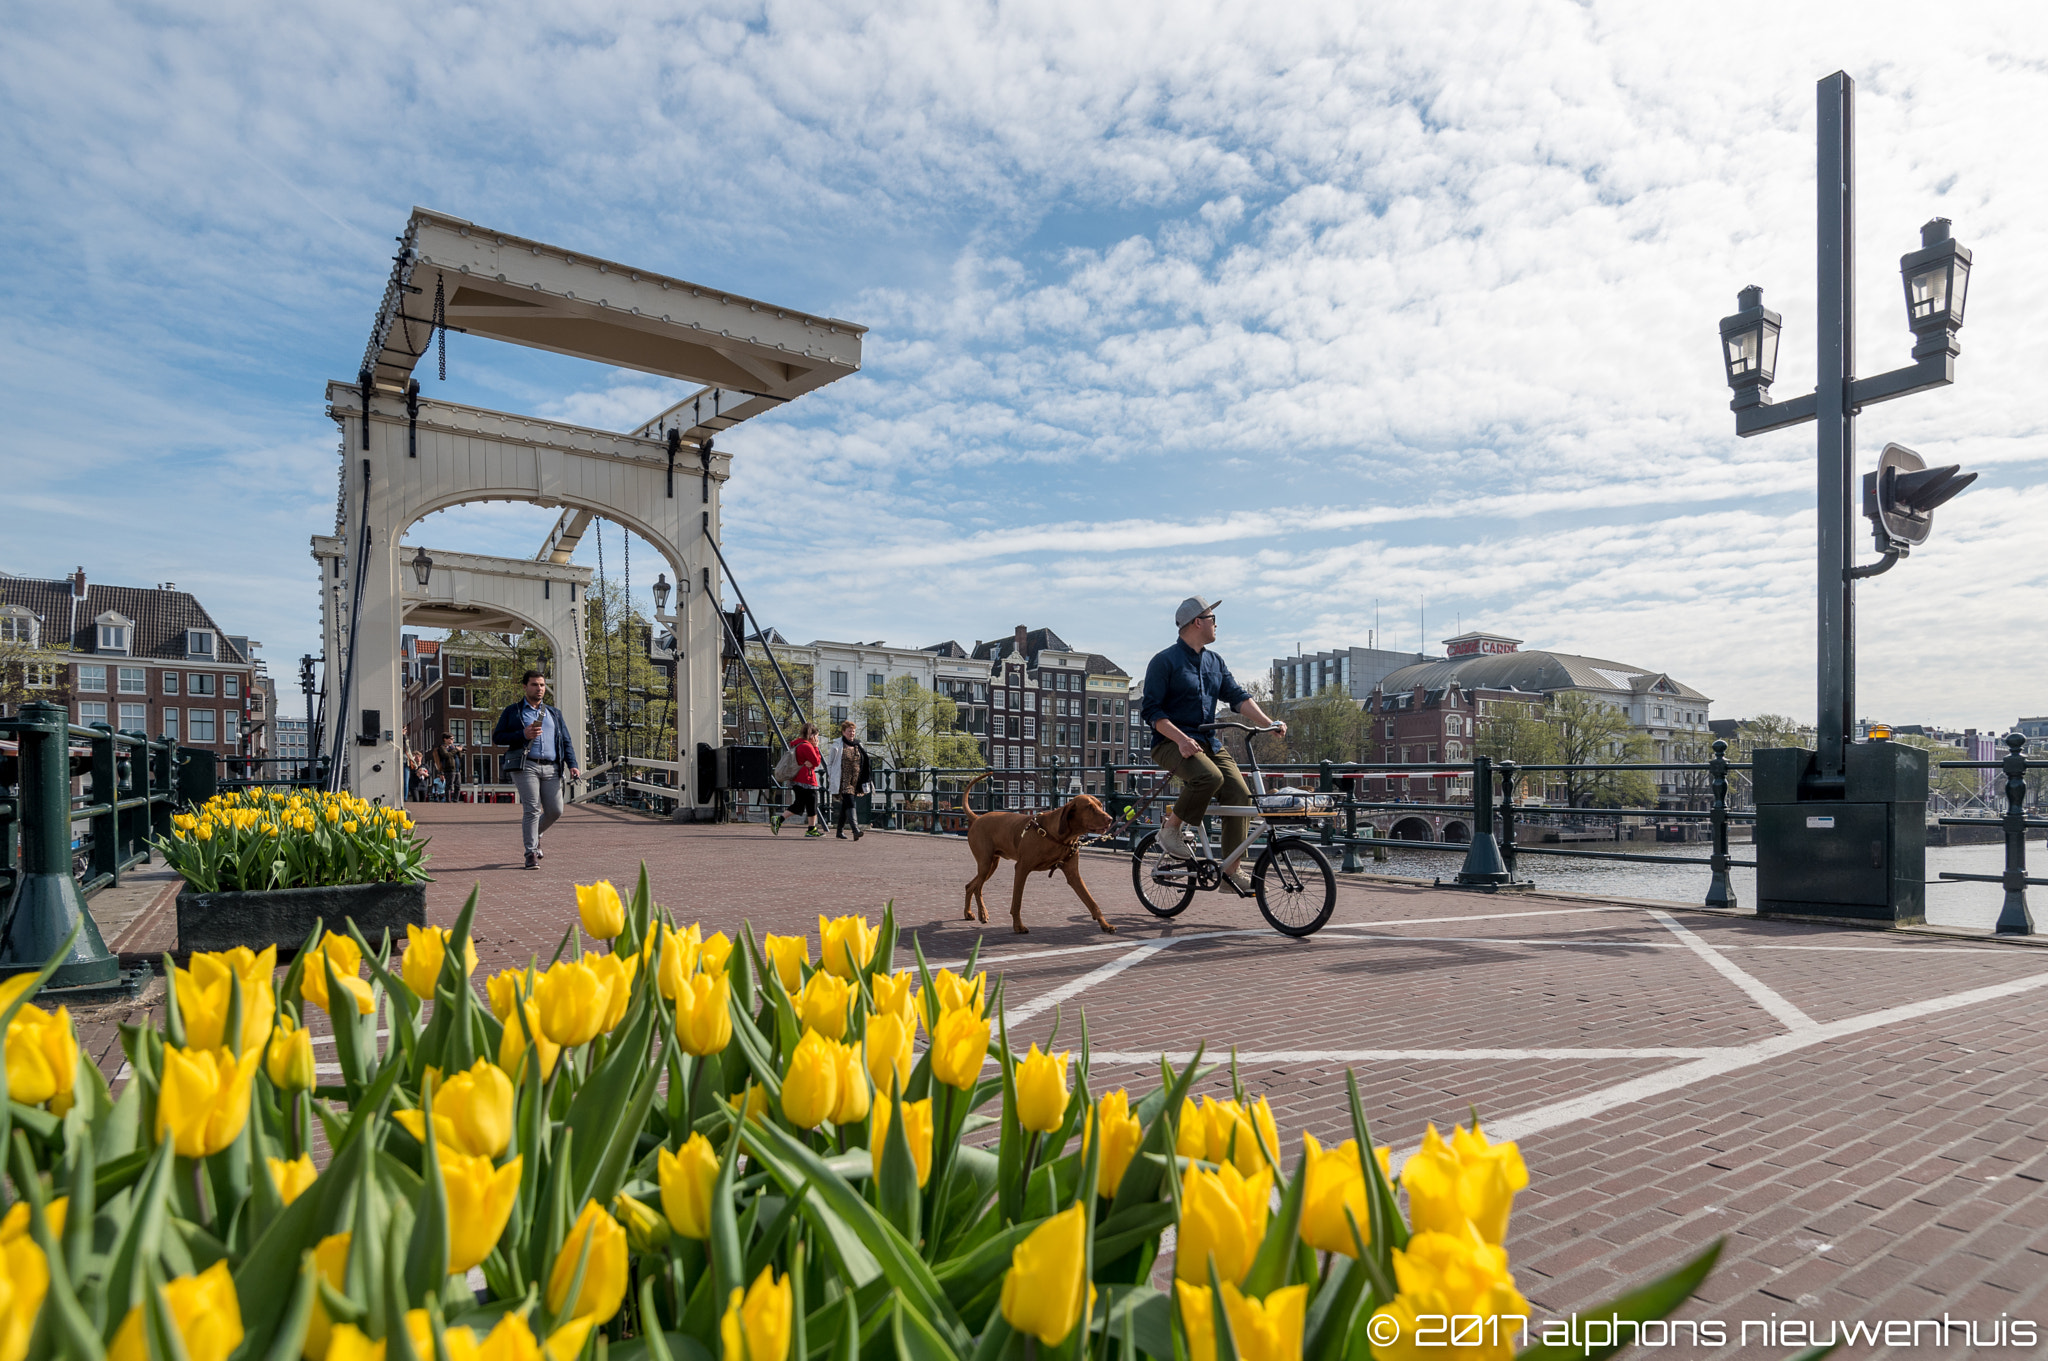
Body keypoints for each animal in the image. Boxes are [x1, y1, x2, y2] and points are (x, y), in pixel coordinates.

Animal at [958, 773, 1122, 933]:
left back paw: (968, 913)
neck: (1058, 837)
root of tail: (978, 818)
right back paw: (982, 913)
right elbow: (1017, 902)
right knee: (978, 888)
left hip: (992, 864)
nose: (1110, 818)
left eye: (1100, 805)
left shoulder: (1073, 875)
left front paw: (1105, 925)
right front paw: (1018, 926)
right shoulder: (1022, 868)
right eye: (1089, 807)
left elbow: (1092, 902)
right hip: (985, 863)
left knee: (970, 886)